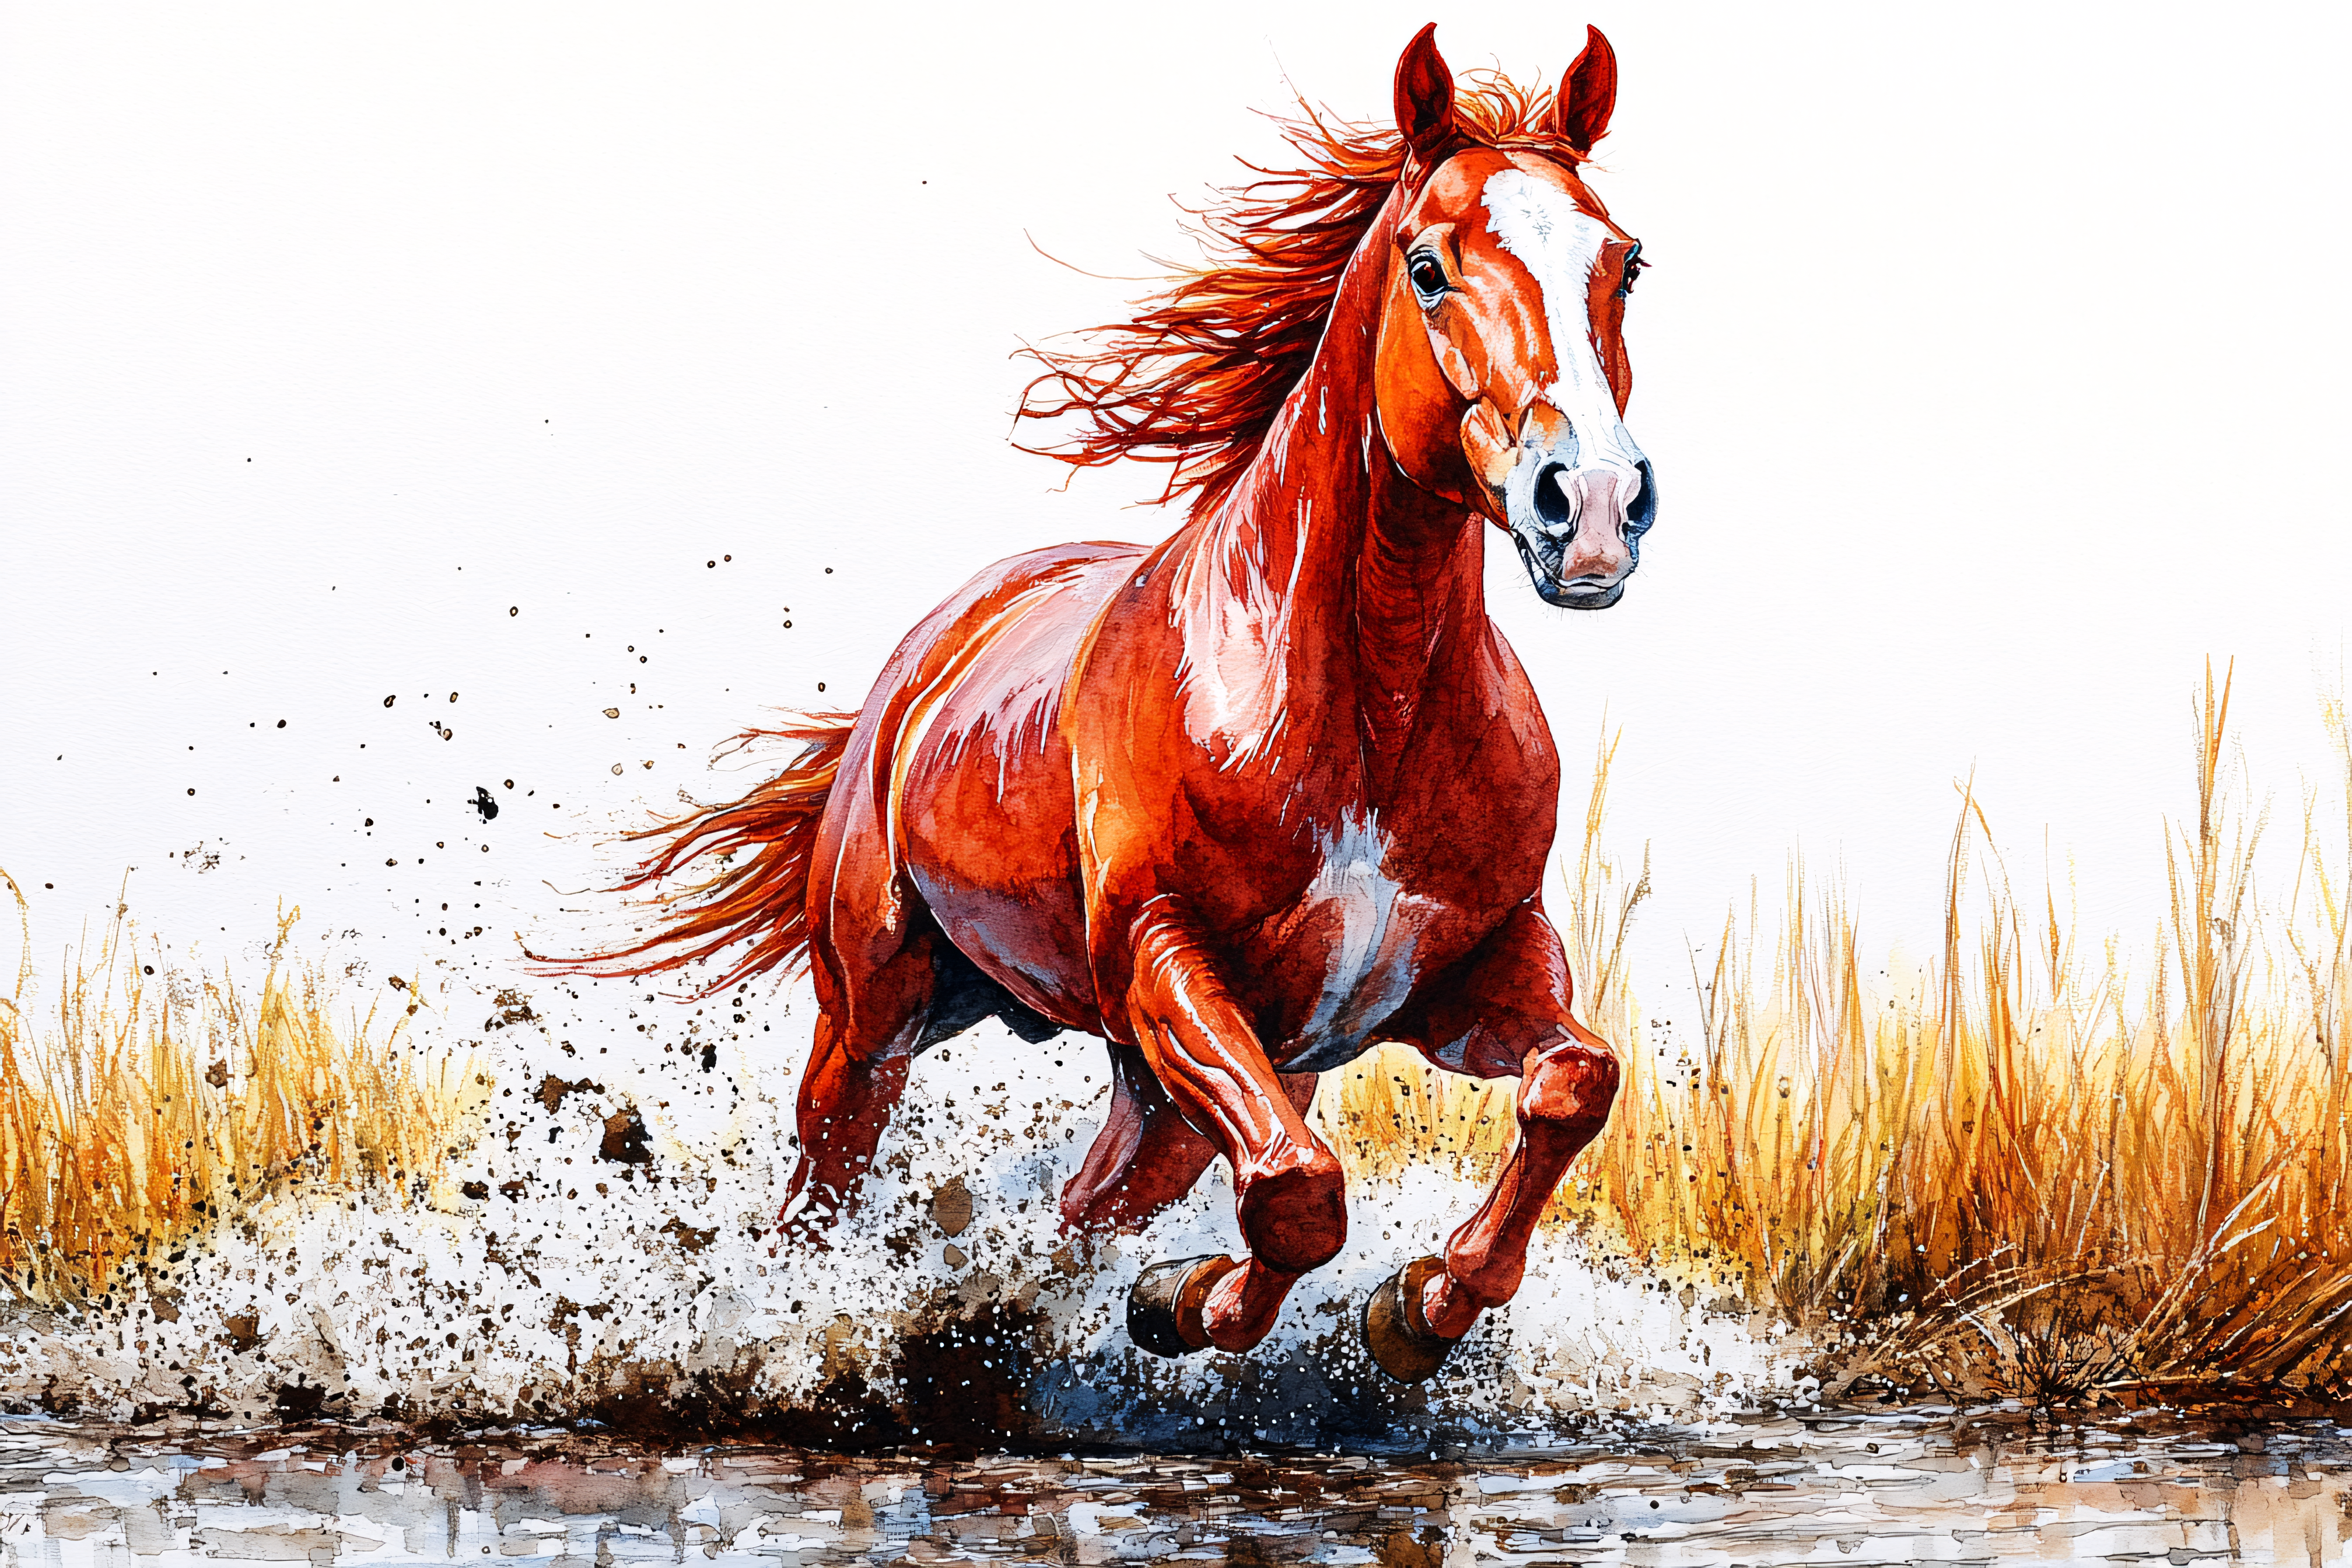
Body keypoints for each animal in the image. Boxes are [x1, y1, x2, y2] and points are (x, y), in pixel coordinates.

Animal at [576, 23, 1654, 1382]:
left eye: (1626, 264)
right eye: (1427, 267)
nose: (1595, 506)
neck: (1365, 709)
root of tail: (928, 654)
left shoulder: (1466, 967)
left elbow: (1575, 1083)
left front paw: (1415, 1304)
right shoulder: (1162, 958)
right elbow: (1298, 1194)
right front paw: (1196, 1303)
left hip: (1163, 1082)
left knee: (1090, 1204)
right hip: (876, 1012)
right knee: (828, 1189)